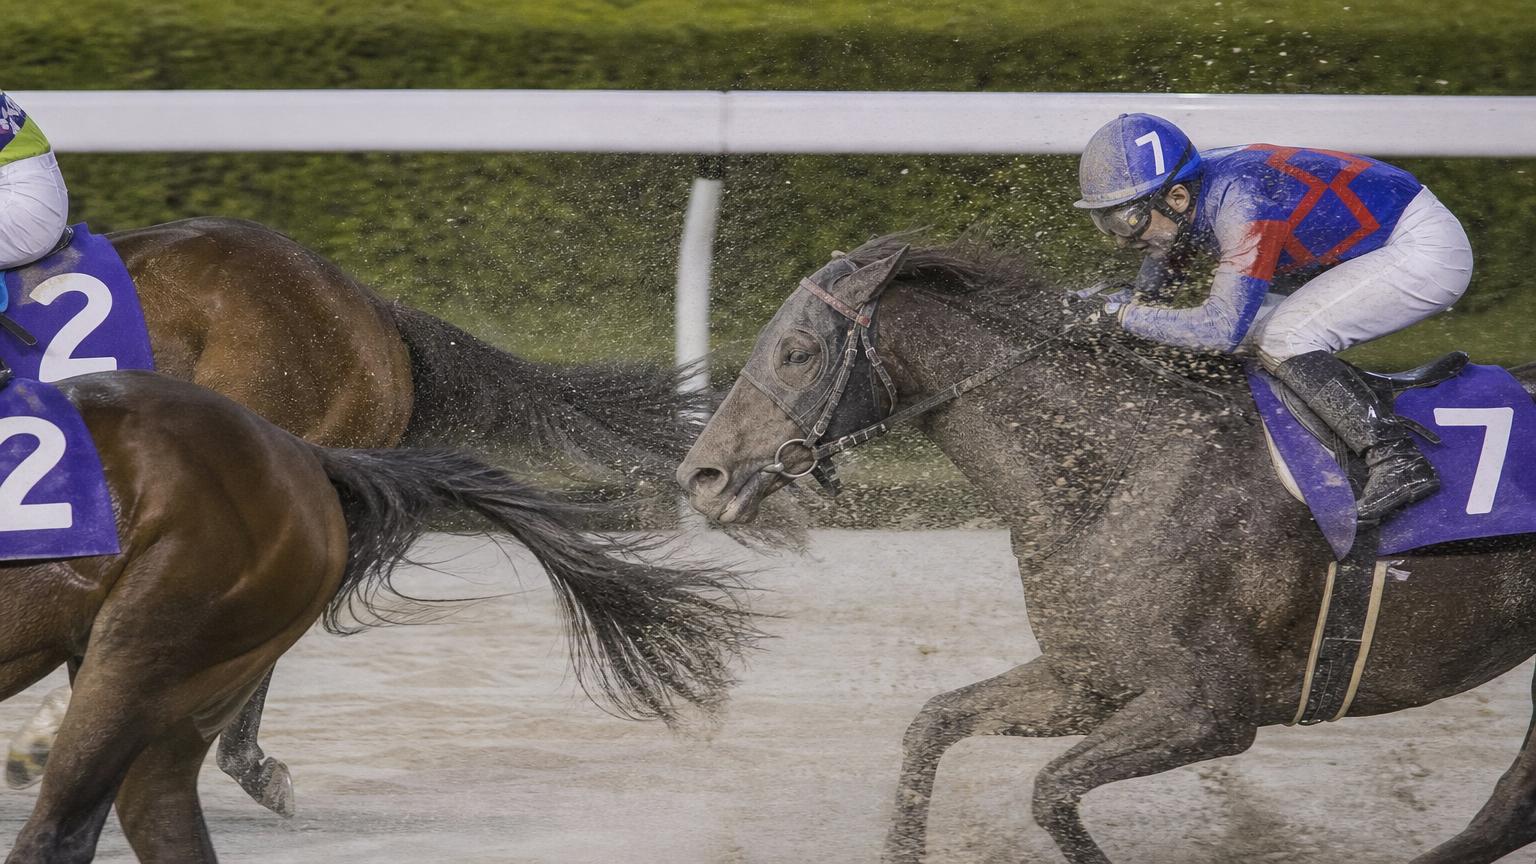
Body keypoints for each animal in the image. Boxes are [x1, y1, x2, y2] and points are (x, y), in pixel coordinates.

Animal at [676, 234, 1536, 864]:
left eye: (797, 351)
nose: (700, 475)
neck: (1121, 469)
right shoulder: (1089, 679)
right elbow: (934, 722)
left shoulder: (1210, 711)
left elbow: (1051, 792)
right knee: (1505, 812)